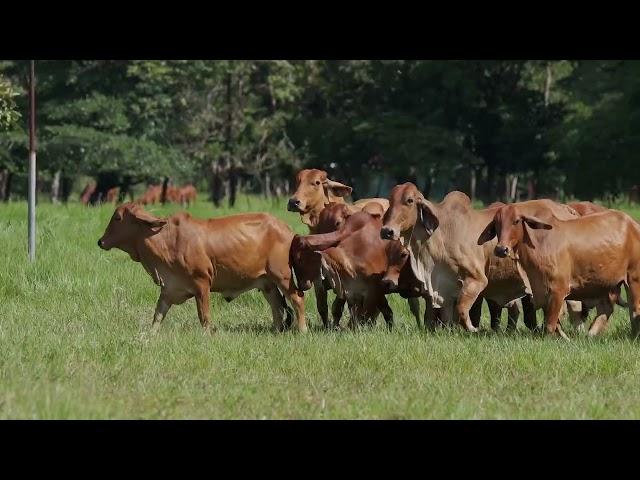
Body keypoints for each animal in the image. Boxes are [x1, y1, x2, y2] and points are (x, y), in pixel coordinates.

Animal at [98, 202, 308, 334]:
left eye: (117, 218)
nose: (100, 241)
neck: (166, 240)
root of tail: (286, 228)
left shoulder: (202, 285)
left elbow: (204, 316)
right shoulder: (169, 289)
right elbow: (158, 315)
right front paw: (150, 336)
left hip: (282, 276)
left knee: (297, 299)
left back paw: (302, 330)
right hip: (267, 284)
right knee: (277, 308)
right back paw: (276, 330)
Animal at [286, 167, 388, 328]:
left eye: (316, 182)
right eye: (297, 181)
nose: (293, 202)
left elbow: (338, 306)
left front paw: (336, 326)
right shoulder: (319, 279)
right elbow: (322, 306)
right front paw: (327, 326)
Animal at [378, 184, 584, 334]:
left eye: (410, 200)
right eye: (390, 200)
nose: (387, 231)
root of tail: (566, 209)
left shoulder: (476, 279)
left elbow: (462, 309)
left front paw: (473, 329)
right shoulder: (445, 286)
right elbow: (446, 314)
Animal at [480, 202, 640, 338]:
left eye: (516, 221)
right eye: (496, 223)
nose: (501, 249)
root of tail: (632, 223)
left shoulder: (558, 290)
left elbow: (550, 325)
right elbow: (553, 323)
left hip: (633, 278)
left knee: (634, 309)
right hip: (606, 283)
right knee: (607, 308)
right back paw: (591, 334)